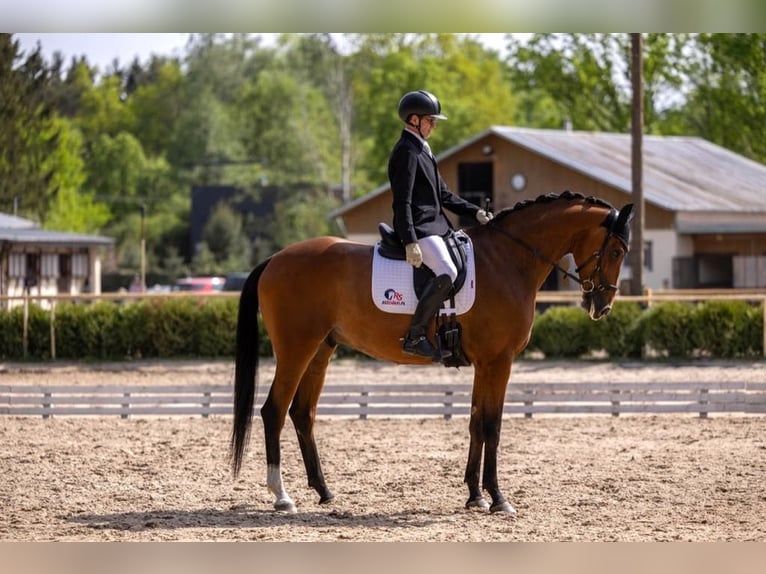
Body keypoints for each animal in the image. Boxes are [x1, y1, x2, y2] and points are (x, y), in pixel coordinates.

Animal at [230, 190, 636, 516]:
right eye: (616, 251)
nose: (602, 306)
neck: (508, 259)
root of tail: (275, 259)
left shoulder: (485, 364)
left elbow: (476, 422)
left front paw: (475, 496)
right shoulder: (498, 362)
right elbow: (493, 425)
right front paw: (498, 498)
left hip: (320, 351)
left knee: (303, 413)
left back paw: (324, 491)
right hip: (296, 349)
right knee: (274, 411)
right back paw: (282, 497)